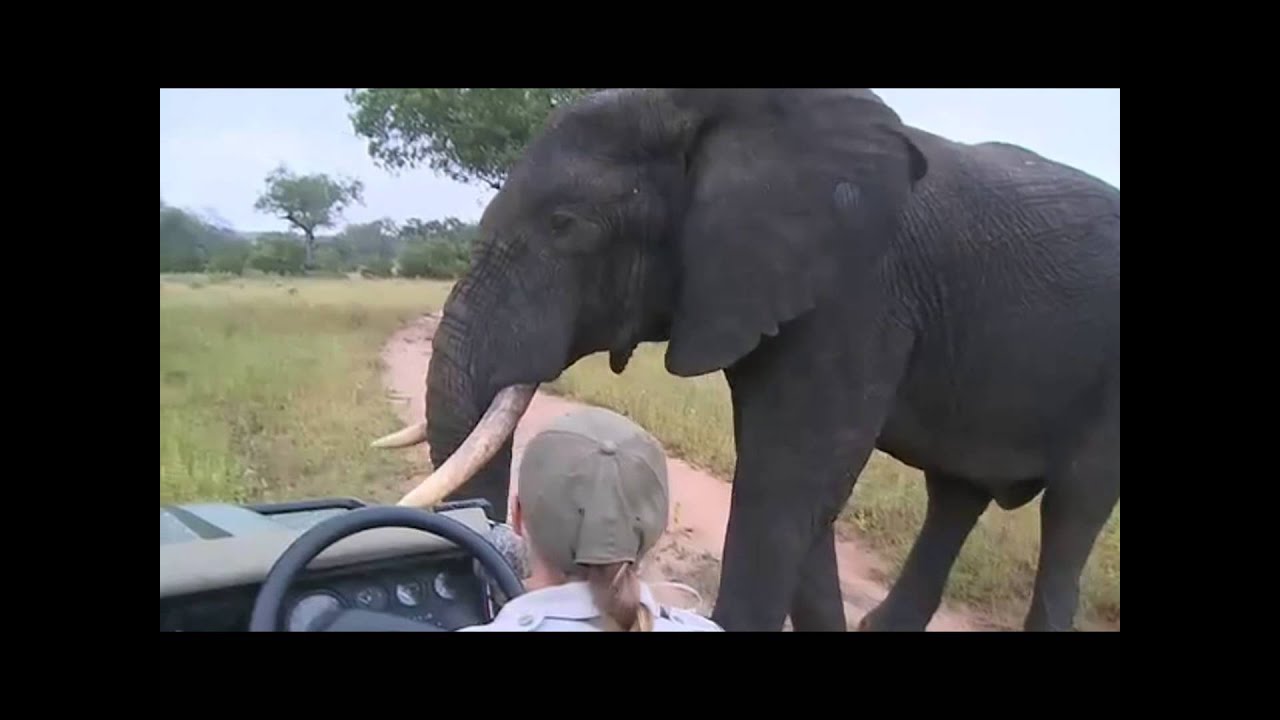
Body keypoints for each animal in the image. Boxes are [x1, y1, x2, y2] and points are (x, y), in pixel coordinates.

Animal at [373, 89, 1120, 632]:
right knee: (957, 495)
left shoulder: (858, 292)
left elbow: (785, 484)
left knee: (1074, 507)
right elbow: (798, 493)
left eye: (567, 226)